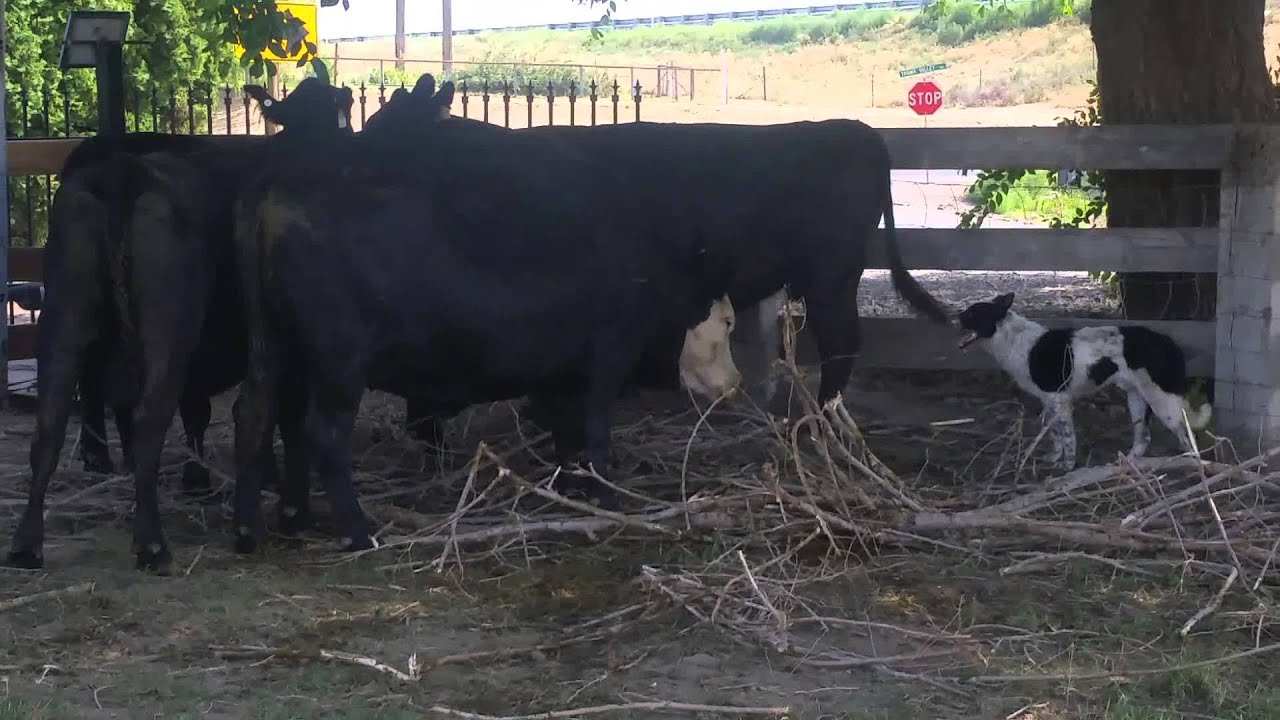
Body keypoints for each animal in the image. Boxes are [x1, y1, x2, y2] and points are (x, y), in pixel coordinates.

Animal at [7, 78, 355, 574]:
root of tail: (125, 169)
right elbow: (275, 414)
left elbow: (205, 412)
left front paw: (203, 477)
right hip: (169, 324)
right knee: (148, 415)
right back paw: (151, 543)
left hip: (65, 313)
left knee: (52, 422)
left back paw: (28, 543)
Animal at [227, 111, 742, 555]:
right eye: (727, 321)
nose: (735, 384)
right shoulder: (606, 357)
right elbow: (594, 437)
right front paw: (608, 500)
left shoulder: (562, 371)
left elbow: (567, 437)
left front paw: (571, 490)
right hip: (339, 364)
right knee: (324, 435)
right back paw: (356, 532)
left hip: (275, 349)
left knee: (257, 416)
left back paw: (262, 527)